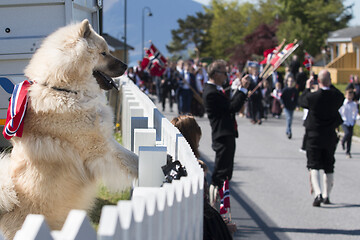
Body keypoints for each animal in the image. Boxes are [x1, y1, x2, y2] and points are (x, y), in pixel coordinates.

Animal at [0, 19, 139, 239]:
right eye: (104, 53)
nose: (126, 66)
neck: (65, 90)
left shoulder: (106, 142)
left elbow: (129, 156)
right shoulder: (100, 149)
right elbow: (130, 160)